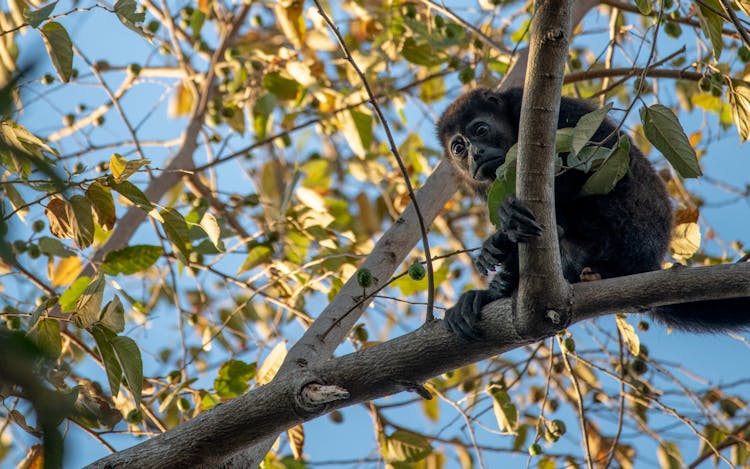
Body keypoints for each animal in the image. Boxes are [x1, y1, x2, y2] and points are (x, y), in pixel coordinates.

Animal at [438, 87, 750, 336]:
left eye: (480, 130)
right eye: (458, 148)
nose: (475, 154)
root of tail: (649, 263)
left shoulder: (551, 110)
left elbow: (594, 156)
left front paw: (505, 225)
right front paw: (495, 245)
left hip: (626, 228)